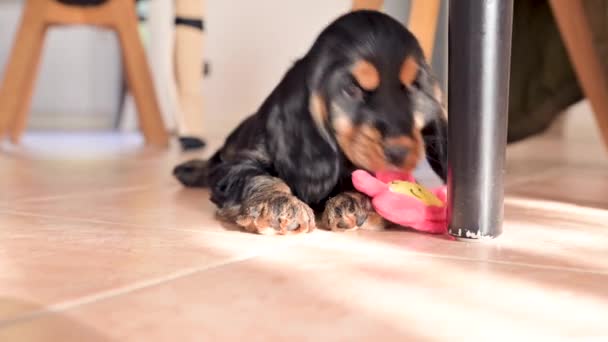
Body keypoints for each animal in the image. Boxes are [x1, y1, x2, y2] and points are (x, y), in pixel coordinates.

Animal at [172, 10, 446, 235]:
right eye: (352, 88)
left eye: (415, 88)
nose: (401, 153)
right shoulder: (237, 165)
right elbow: (257, 177)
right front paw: (278, 204)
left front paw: (354, 202)